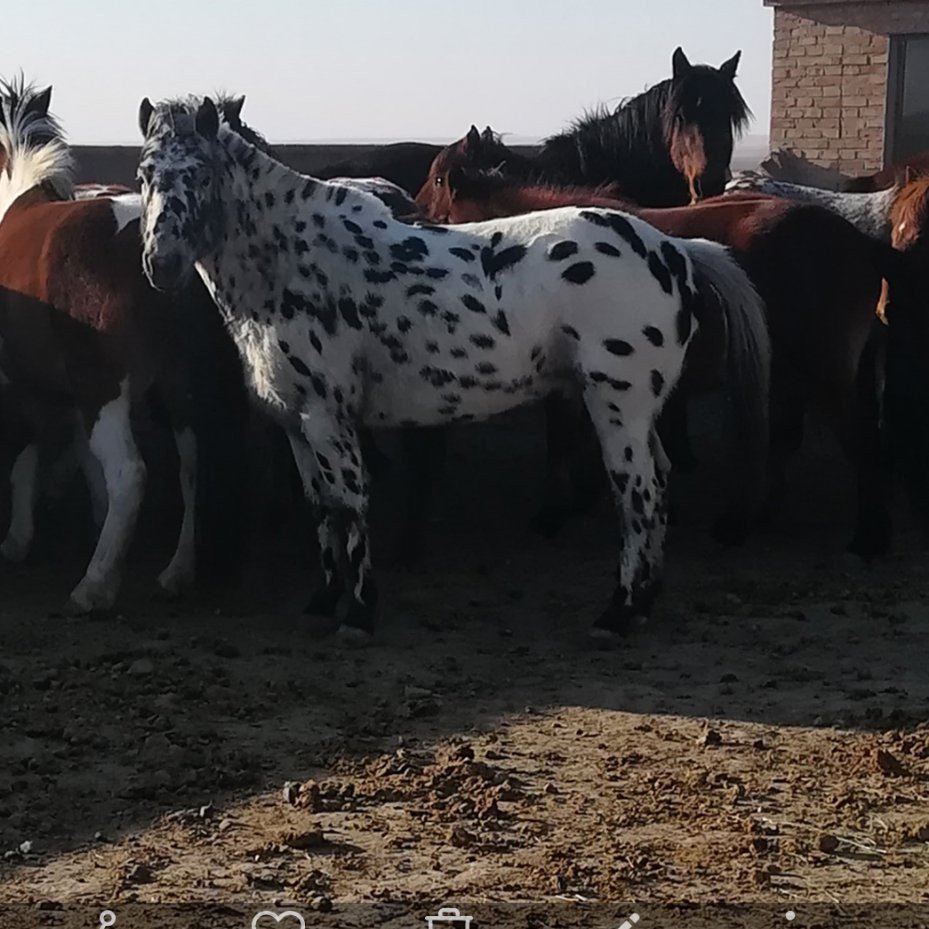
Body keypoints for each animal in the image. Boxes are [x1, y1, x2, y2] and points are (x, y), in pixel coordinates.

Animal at [0, 80, 248, 608]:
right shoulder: (70, 395)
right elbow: (83, 462)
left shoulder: (28, 385)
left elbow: (27, 455)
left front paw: (18, 539)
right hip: (179, 389)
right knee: (191, 466)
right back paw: (177, 570)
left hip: (107, 392)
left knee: (131, 474)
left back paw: (94, 586)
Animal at [132, 96, 768, 644]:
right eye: (145, 174)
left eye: (202, 174)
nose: (161, 263)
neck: (293, 261)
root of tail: (673, 249)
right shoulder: (294, 423)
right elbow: (322, 511)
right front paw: (323, 600)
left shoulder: (328, 419)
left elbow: (351, 503)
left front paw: (357, 612)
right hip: (638, 411)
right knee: (656, 486)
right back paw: (642, 604)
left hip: (618, 407)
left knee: (639, 495)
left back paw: (617, 613)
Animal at [422, 167, 928, 560]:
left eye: (440, 204)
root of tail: (861, 243)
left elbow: (561, 441)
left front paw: (554, 511)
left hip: (821, 372)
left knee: (859, 442)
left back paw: (867, 537)